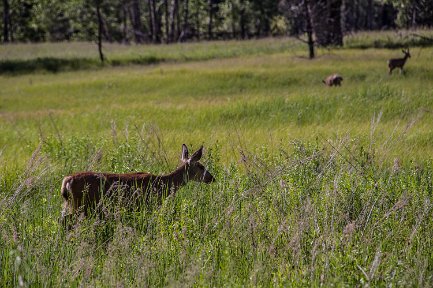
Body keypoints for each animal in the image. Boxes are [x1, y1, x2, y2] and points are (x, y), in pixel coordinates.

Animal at [60, 144, 215, 223]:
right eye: (201, 166)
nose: (212, 178)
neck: (162, 184)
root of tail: (66, 181)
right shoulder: (148, 203)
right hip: (82, 204)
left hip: (71, 204)